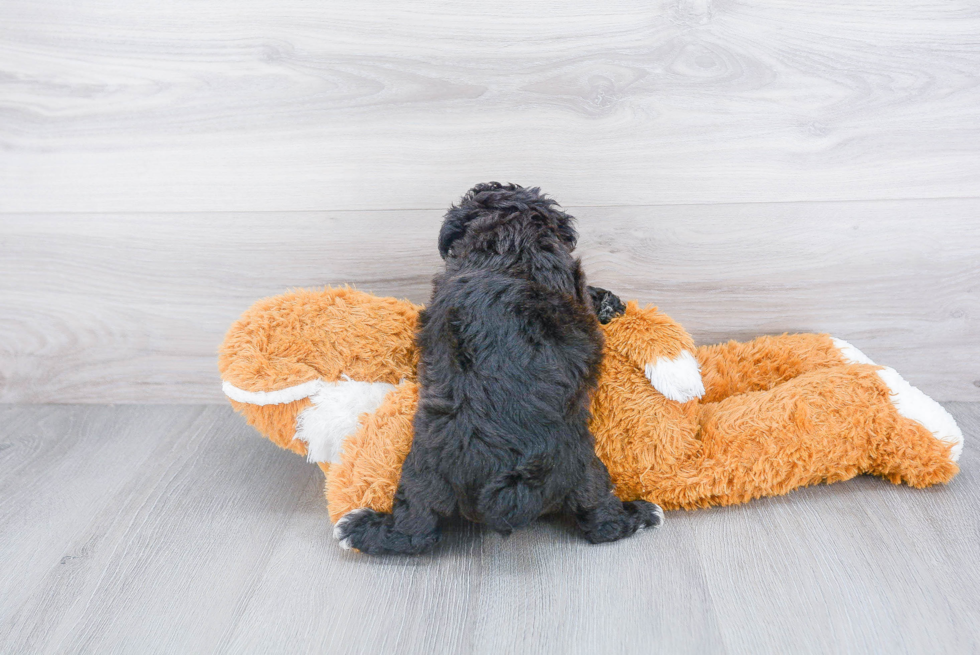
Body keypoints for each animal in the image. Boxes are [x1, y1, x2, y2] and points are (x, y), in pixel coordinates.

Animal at [336, 183, 668, 552]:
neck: (510, 242)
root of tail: (505, 482)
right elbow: (587, 294)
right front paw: (606, 300)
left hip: (421, 475)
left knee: (414, 531)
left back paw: (356, 527)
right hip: (583, 467)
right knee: (600, 519)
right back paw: (643, 514)